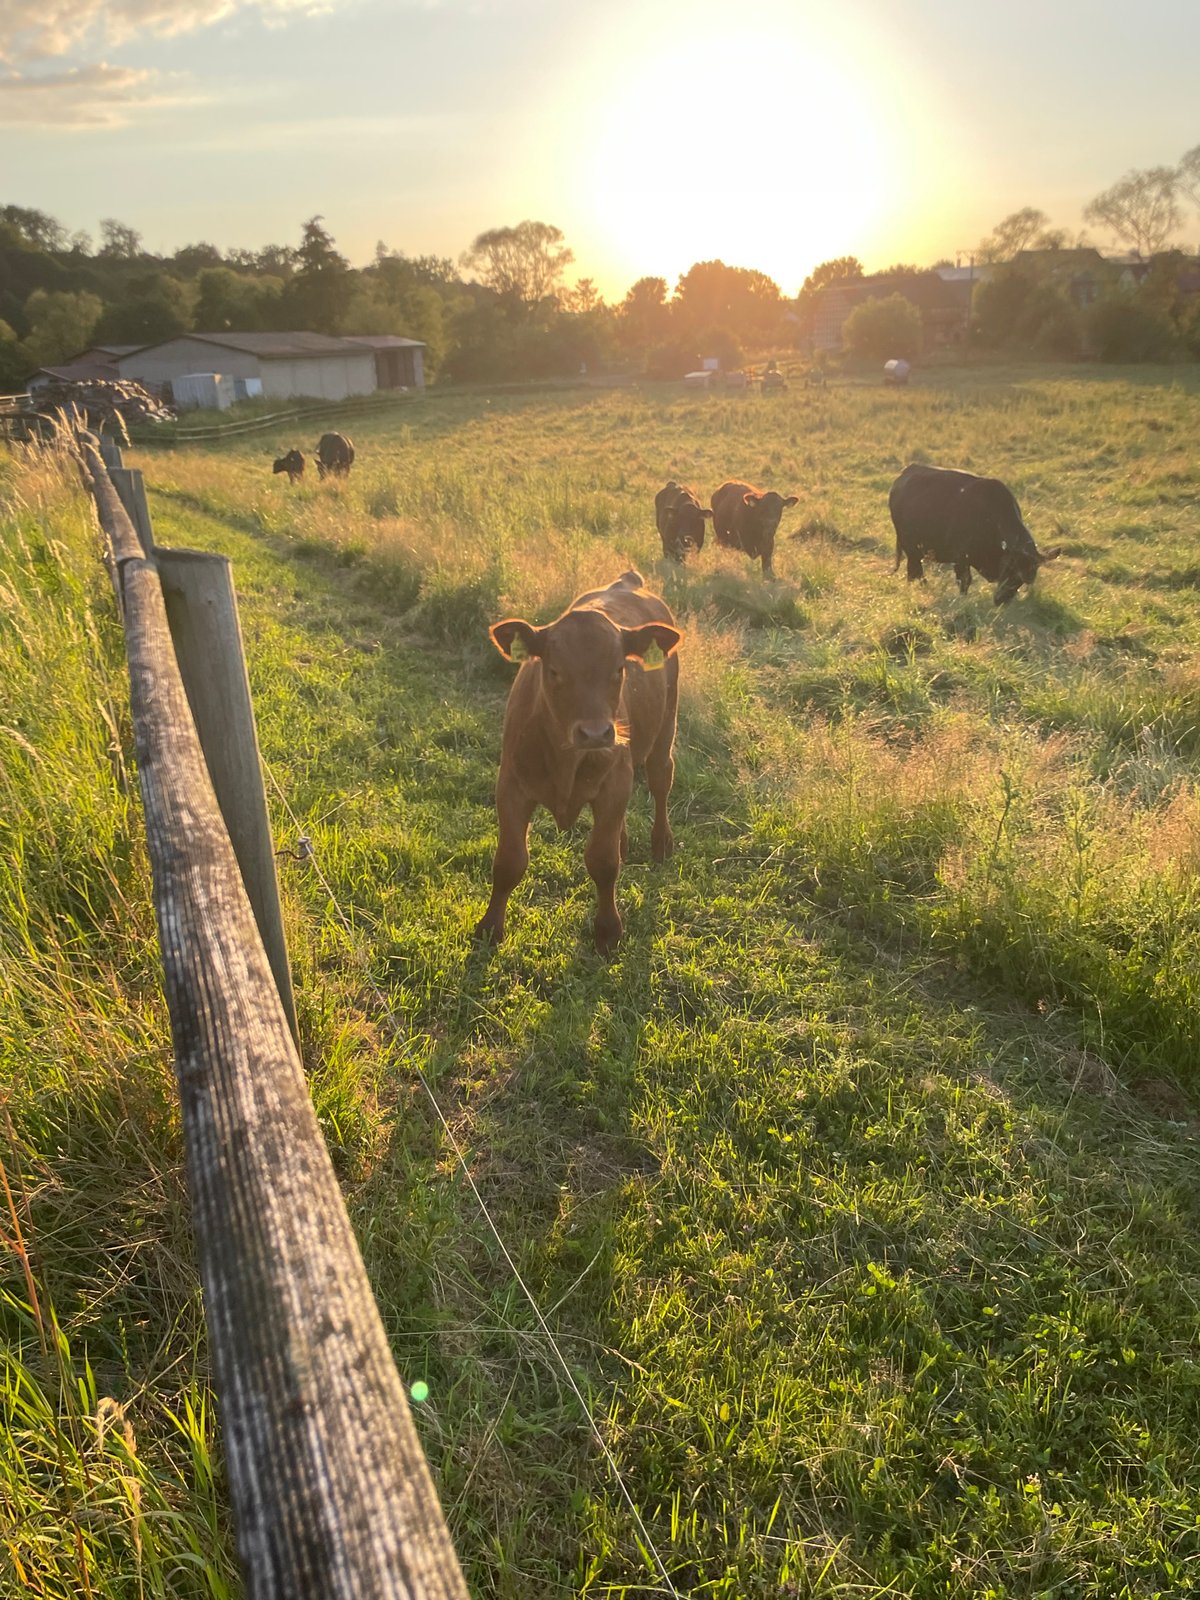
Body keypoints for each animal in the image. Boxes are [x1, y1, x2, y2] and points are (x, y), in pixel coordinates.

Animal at [475, 570, 683, 954]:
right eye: (554, 671)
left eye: (619, 669)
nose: (596, 733)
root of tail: (627, 582)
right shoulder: (511, 785)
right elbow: (509, 861)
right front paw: (490, 927)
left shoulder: (613, 784)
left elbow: (602, 861)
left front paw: (607, 931)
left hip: (665, 727)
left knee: (661, 779)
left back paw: (661, 842)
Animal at [889, 463, 1062, 606]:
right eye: (1010, 569)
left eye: (1022, 581)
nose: (1002, 600)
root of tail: (906, 472)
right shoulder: (961, 558)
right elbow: (964, 580)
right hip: (910, 548)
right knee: (915, 571)